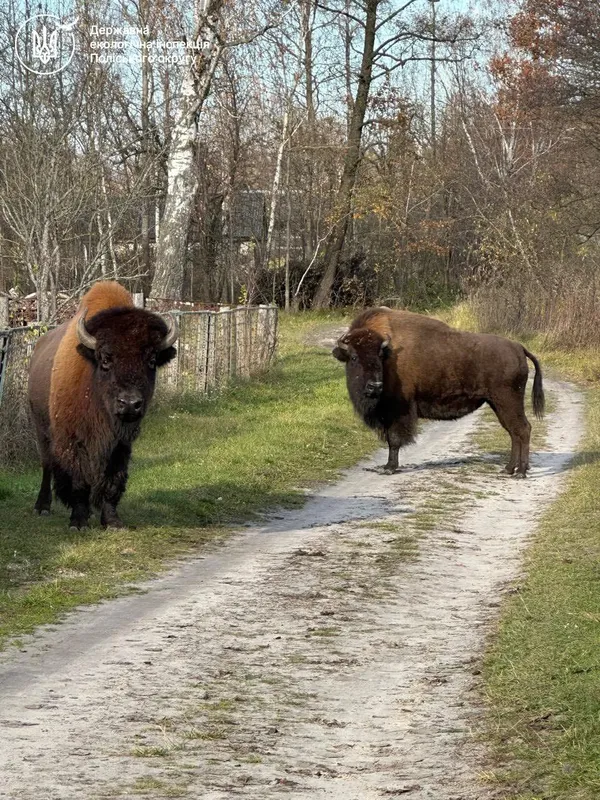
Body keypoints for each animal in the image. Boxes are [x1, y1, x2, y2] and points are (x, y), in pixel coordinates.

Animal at [28, 281, 178, 530]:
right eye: (106, 358)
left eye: (151, 360)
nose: (130, 404)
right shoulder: (74, 439)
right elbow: (79, 479)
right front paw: (78, 521)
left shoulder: (120, 445)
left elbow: (113, 480)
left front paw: (113, 521)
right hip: (41, 430)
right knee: (47, 464)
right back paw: (42, 507)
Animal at [333, 307, 544, 475]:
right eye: (353, 357)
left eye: (379, 356)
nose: (375, 386)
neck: (389, 355)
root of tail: (519, 347)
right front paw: (387, 466)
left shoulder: (398, 412)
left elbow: (394, 441)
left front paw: (390, 468)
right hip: (498, 404)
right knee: (514, 432)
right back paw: (509, 469)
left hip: (508, 401)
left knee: (522, 429)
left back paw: (520, 472)